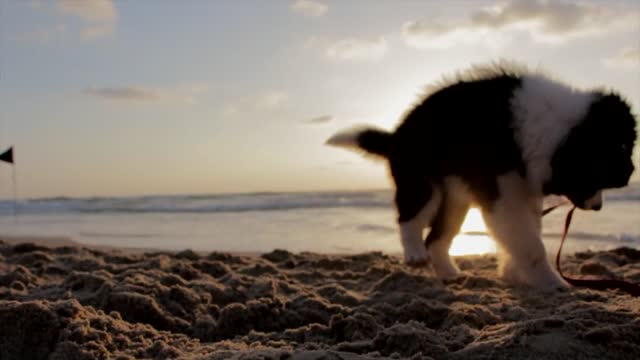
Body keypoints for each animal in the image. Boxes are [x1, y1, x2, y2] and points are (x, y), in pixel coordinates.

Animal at [328, 64, 636, 290]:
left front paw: (514, 272)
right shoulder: (503, 192)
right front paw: (554, 283)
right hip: (424, 182)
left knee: (437, 238)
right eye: (599, 174)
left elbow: (526, 234)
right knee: (410, 217)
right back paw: (415, 253)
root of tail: (397, 136)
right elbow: (531, 243)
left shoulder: (523, 191)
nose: (599, 207)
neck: (556, 130)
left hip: (455, 199)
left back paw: (449, 273)